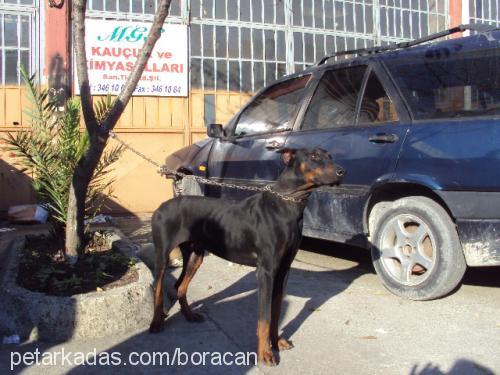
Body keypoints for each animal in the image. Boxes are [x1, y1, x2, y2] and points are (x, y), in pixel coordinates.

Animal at [148, 148, 344, 366]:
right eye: (314, 156)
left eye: (330, 156)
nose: (342, 172)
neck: (288, 204)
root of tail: (161, 206)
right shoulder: (266, 272)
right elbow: (264, 317)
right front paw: (265, 353)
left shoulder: (283, 271)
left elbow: (276, 312)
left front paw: (276, 342)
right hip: (162, 254)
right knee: (157, 287)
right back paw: (156, 322)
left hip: (195, 256)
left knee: (179, 286)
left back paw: (190, 315)